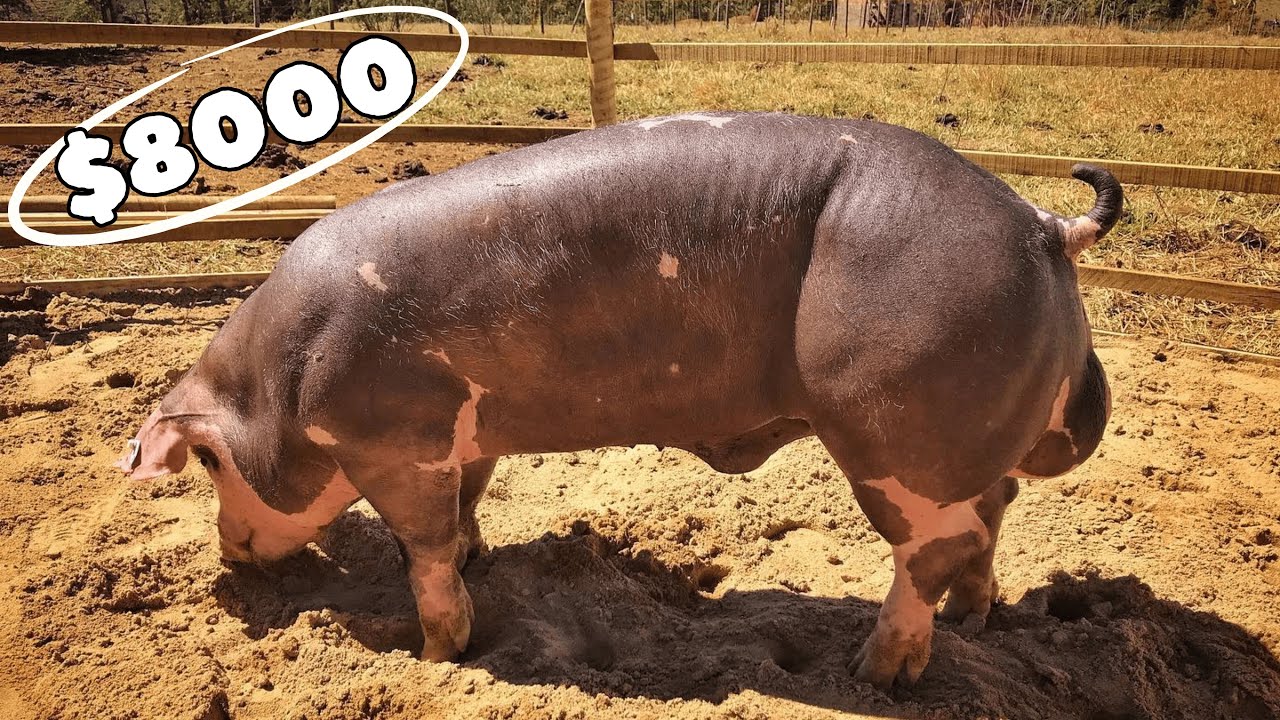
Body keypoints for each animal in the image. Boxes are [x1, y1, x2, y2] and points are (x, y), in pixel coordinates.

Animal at [116, 111, 1118, 689]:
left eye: (208, 462)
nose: (230, 557)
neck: (284, 386)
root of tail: (1043, 227)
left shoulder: (396, 439)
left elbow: (423, 550)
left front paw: (438, 659)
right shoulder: (467, 431)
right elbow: (469, 507)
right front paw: (481, 560)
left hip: (895, 431)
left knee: (930, 549)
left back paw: (874, 676)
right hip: (963, 439)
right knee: (992, 513)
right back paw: (973, 621)